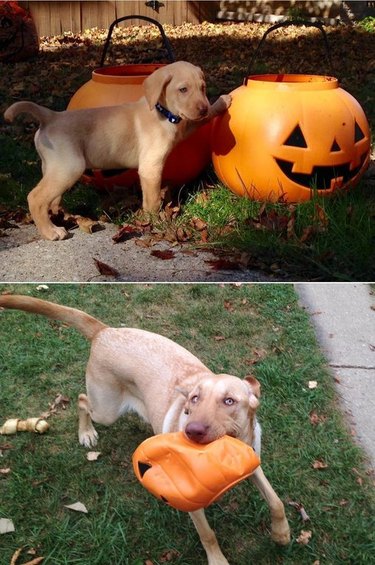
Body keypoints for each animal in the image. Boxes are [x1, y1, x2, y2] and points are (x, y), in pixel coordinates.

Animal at [0, 296, 290, 564]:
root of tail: (105, 331)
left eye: (229, 401)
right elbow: (208, 534)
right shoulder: (190, 502)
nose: (193, 431)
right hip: (106, 410)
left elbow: (276, 501)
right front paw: (218, 560)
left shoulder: (254, 463)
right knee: (82, 400)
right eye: (194, 399)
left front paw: (282, 533)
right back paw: (86, 433)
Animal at [4, 62, 231, 242]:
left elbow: (198, 121)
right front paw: (153, 222)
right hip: (70, 168)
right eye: (183, 89)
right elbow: (152, 200)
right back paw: (50, 231)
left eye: (202, 88)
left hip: (53, 168)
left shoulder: (184, 127)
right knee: (35, 197)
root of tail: (51, 116)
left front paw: (221, 102)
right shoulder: (150, 167)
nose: (202, 108)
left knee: (50, 199)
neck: (162, 112)